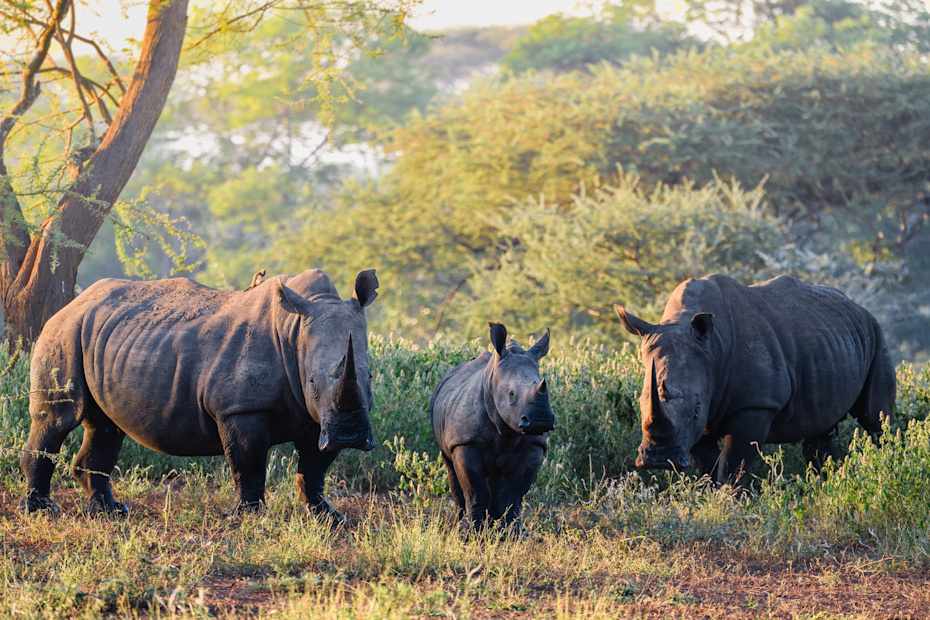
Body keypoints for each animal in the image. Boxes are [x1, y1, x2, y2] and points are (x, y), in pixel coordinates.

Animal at [21, 269, 379, 522]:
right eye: (313, 382)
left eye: (370, 378)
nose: (349, 435)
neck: (295, 330)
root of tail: (70, 304)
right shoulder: (240, 407)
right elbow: (249, 462)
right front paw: (248, 517)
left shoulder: (320, 418)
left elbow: (314, 468)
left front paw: (328, 516)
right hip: (63, 332)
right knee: (57, 420)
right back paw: (42, 510)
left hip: (99, 336)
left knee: (106, 427)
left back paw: (110, 512)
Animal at [430, 323, 553, 533]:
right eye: (511, 394)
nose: (540, 420)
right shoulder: (465, 443)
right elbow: (476, 491)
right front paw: (469, 534)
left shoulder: (534, 445)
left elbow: (514, 493)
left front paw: (513, 534)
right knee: (451, 468)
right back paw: (461, 524)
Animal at [616, 274, 896, 488]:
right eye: (640, 404)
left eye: (696, 409)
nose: (658, 460)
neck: (713, 349)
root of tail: (856, 306)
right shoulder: (700, 414)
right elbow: (709, 465)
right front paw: (711, 498)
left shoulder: (755, 404)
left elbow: (733, 462)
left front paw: (730, 502)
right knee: (820, 432)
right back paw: (824, 486)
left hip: (876, 333)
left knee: (876, 418)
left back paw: (888, 468)